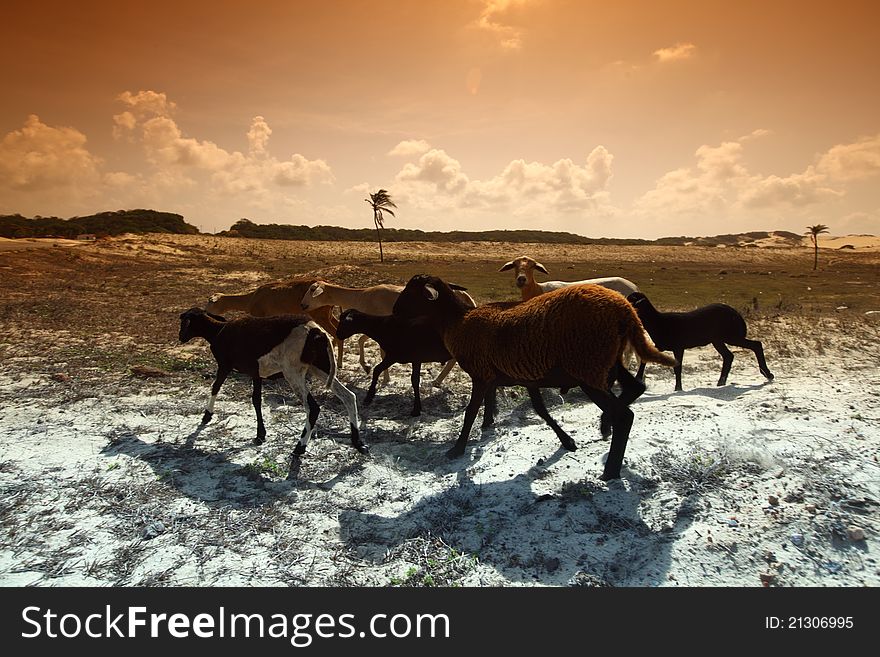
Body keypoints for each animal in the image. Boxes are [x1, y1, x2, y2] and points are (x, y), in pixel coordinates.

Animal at [180, 308, 366, 456]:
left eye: (184, 322)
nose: (181, 337)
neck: (217, 331)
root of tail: (316, 332)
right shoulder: (256, 372)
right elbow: (256, 400)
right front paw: (260, 434)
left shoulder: (225, 365)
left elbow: (215, 387)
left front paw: (207, 416)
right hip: (320, 367)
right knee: (349, 396)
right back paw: (358, 442)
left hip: (293, 371)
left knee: (313, 408)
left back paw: (299, 448)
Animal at [628, 290, 772, 390]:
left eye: (631, 300)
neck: (658, 323)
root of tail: (738, 315)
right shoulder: (661, 345)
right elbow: (644, 359)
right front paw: (638, 378)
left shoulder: (678, 346)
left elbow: (678, 367)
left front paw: (678, 388)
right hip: (718, 339)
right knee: (729, 356)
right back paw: (721, 382)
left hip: (730, 336)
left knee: (756, 345)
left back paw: (767, 374)